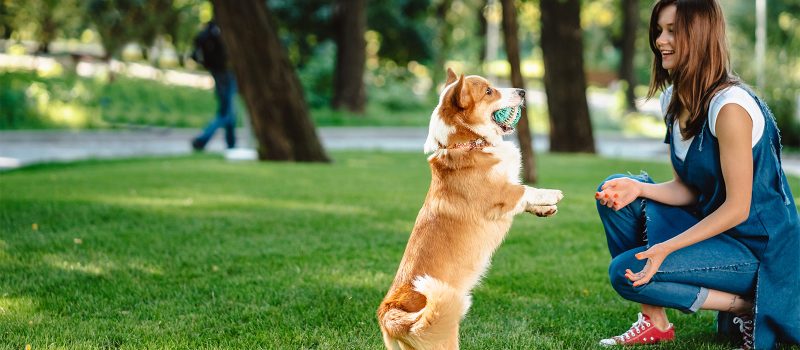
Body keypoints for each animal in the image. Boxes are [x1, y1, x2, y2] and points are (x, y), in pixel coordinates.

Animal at [376, 69, 564, 350]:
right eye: (489, 91)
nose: (522, 92)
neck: (468, 142)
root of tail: (389, 313)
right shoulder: (501, 195)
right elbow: (526, 189)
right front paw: (552, 194)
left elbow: (527, 198)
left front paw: (546, 209)